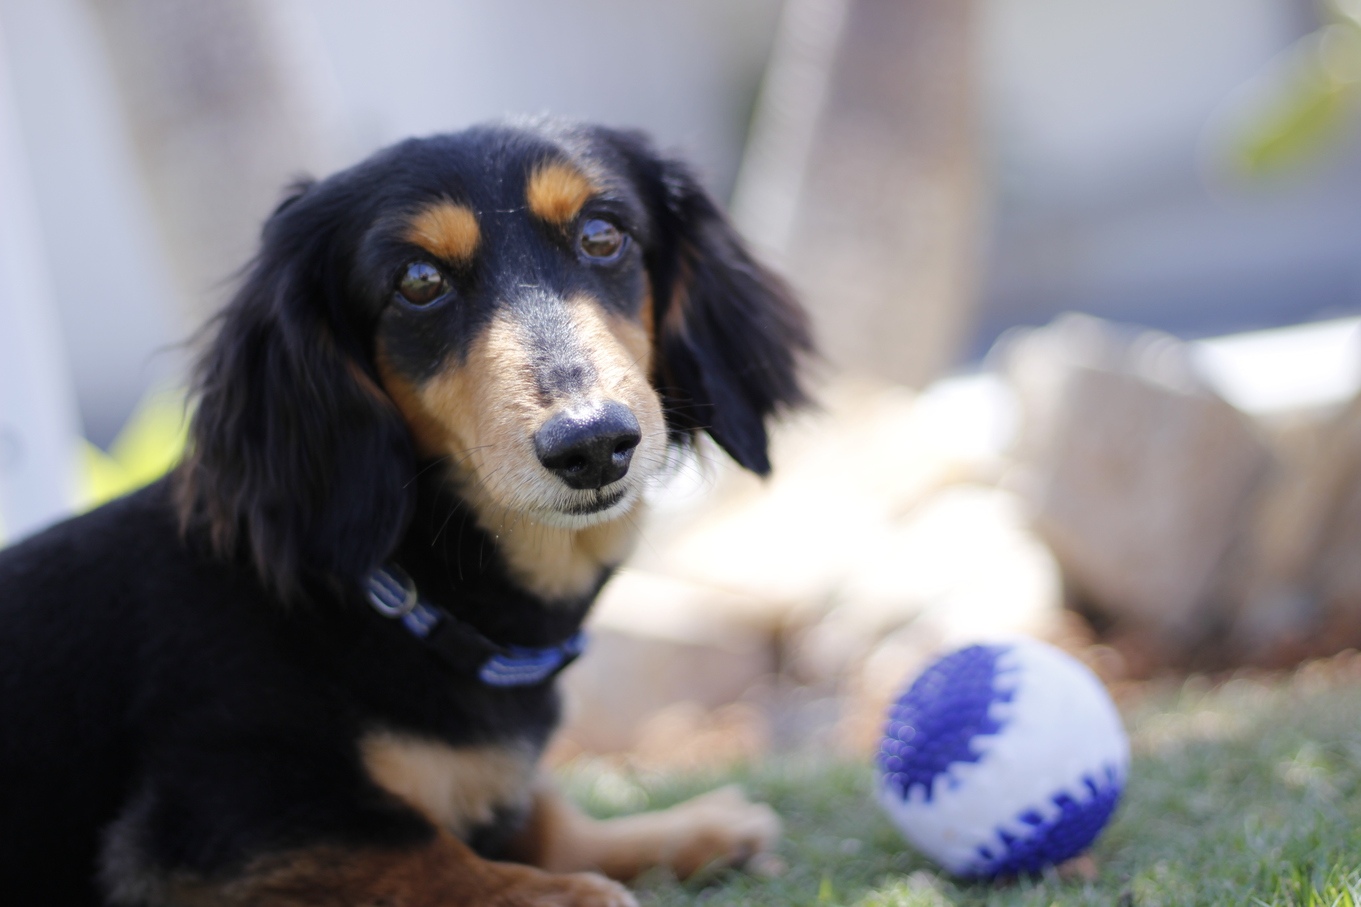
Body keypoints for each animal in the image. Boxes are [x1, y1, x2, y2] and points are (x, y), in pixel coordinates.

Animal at [0, 121, 805, 904]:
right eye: (419, 281)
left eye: (603, 235)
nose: (593, 444)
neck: (405, 597)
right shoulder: (207, 819)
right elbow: (417, 849)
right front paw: (570, 894)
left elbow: (541, 816)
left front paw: (685, 830)